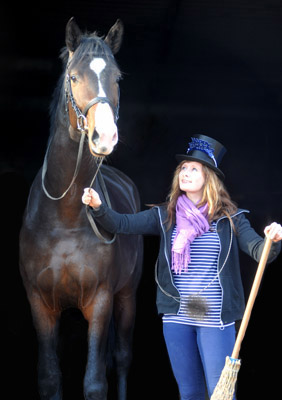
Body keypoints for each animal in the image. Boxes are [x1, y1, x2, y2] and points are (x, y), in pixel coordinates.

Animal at [19, 18, 143, 400]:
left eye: (117, 78)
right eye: (73, 77)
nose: (105, 137)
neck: (65, 218)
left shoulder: (100, 301)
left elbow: (94, 382)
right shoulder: (40, 304)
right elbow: (49, 378)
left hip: (126, 296)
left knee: (121, 358)